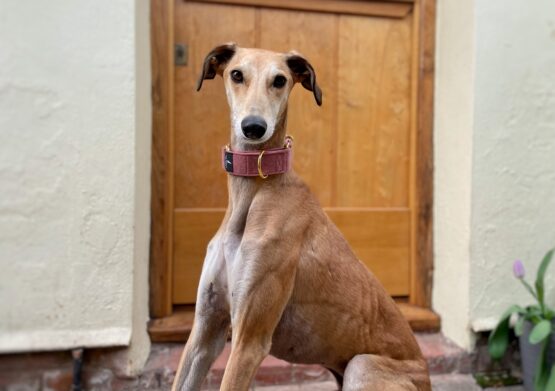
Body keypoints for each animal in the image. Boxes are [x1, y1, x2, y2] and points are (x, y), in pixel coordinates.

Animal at [172, 43, 432, 391]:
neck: (255, 191)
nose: (253, 127)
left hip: (361, 366)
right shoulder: (205, 331)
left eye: (280, 80)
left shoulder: (249, 340)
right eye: (236, 74)